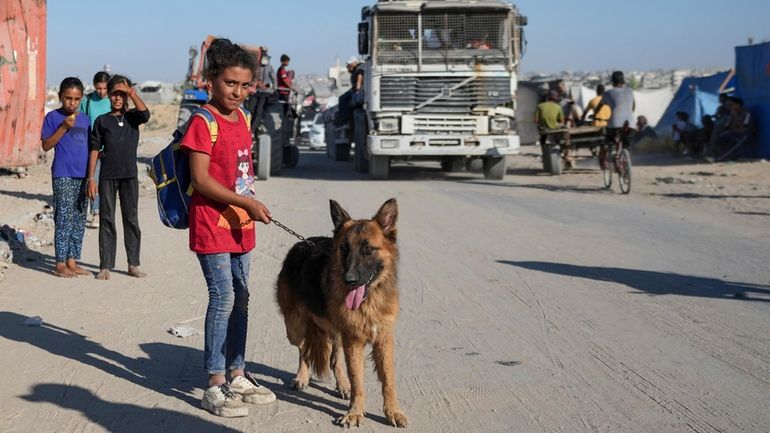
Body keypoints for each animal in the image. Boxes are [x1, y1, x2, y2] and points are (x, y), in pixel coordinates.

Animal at [276, 200, 408, 428]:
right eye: (345, 248)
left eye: (368, 249)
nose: (349, 279)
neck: (369, 300)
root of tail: (301, 244)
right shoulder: (353, 340)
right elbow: (358, 380)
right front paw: (355, 413)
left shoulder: (383, 340)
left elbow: (388, 380)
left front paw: (393, 412)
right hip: (296, 328)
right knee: (304, 350)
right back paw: (302, 377)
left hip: (337, 333)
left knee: (334, 359)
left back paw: (342, 385)